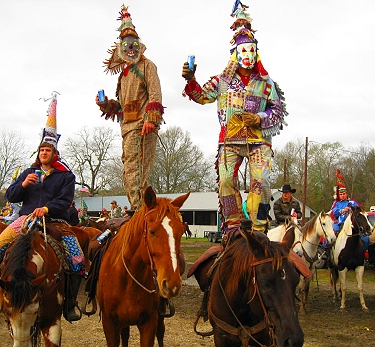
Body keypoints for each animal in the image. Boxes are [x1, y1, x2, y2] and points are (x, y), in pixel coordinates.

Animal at [97, 188, 191, 347]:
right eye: (152, 231)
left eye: (181, 231)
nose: (172, 284)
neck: (127, 280)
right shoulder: (109, 323)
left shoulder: (149, 322)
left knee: (160, 332)